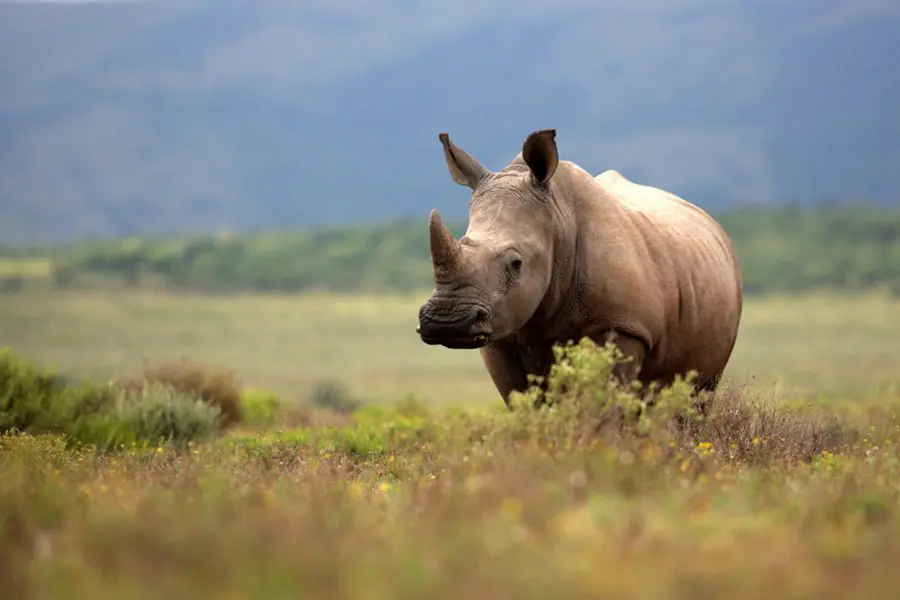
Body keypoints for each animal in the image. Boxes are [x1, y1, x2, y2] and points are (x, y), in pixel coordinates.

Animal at [418, 126, 740, 408]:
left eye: (515, 264)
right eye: (463, 242)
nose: (447, 321)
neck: (559, 219)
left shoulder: (623, 326)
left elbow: (604, 405)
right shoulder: (500, 337)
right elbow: (524, 403)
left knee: (696, 396)